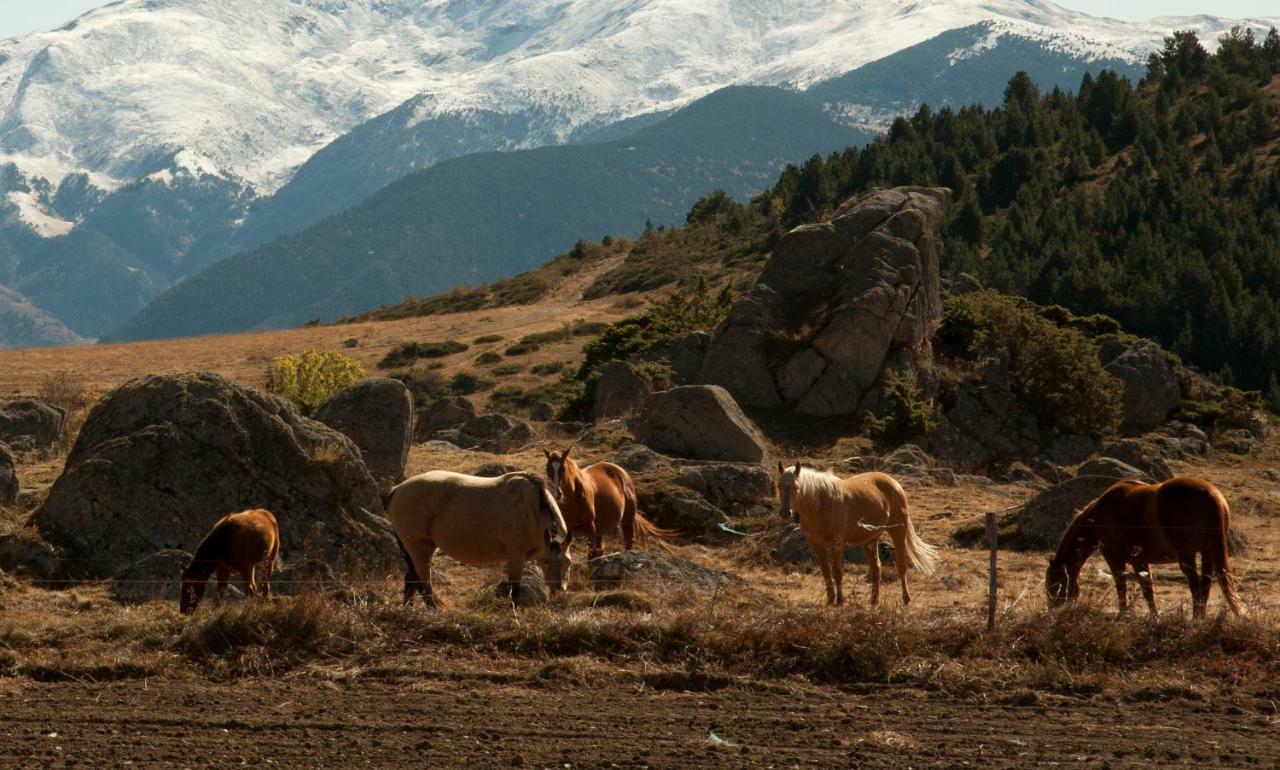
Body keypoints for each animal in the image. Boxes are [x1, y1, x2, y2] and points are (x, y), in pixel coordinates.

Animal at [386, 468, 573, 606]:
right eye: (547, 562)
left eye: (568, 563)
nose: (559, 589)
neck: (532, 508)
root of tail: (397, 490)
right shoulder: (515, 557)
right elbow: (515, 592)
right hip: (418, 547)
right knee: (424, 584)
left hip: (424, 547)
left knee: (412, 580)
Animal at [545, 442, 675, 557]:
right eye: (548, 469)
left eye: (563, 468)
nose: (557, 493)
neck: (573, 501)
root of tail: (622, 472)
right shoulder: (569, 530)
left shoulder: (591, 527)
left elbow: (591, 553)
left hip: (626, 522)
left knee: (627, 543)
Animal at [768, 460, 942, 606]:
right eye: (779, 486)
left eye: (796, 487)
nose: (785, 512)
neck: (822, 503)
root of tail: (894, 483)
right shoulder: (816, 544)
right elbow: (826, 572)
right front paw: (830, 600)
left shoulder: (836, 543)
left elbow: (837, 572)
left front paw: (840, 601)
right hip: (870, 540)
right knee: (876, 567)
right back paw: (874, 600)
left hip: (898, 532)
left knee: (901, 566)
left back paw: (906, 599)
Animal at [1044, 473, 1244, 616]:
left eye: (1054, 584)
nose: (1053, 609)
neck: (1098, 517)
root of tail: (1212, 496)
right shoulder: (1140, 560)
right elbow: (1148, 590)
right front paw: (1154, 617)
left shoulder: (1114, 556)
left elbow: (1121, 585)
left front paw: (1123, 614)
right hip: (1207, 552)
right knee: (1205, 585)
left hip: (1188, 555)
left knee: (1195, 585)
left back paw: (1196, 619)